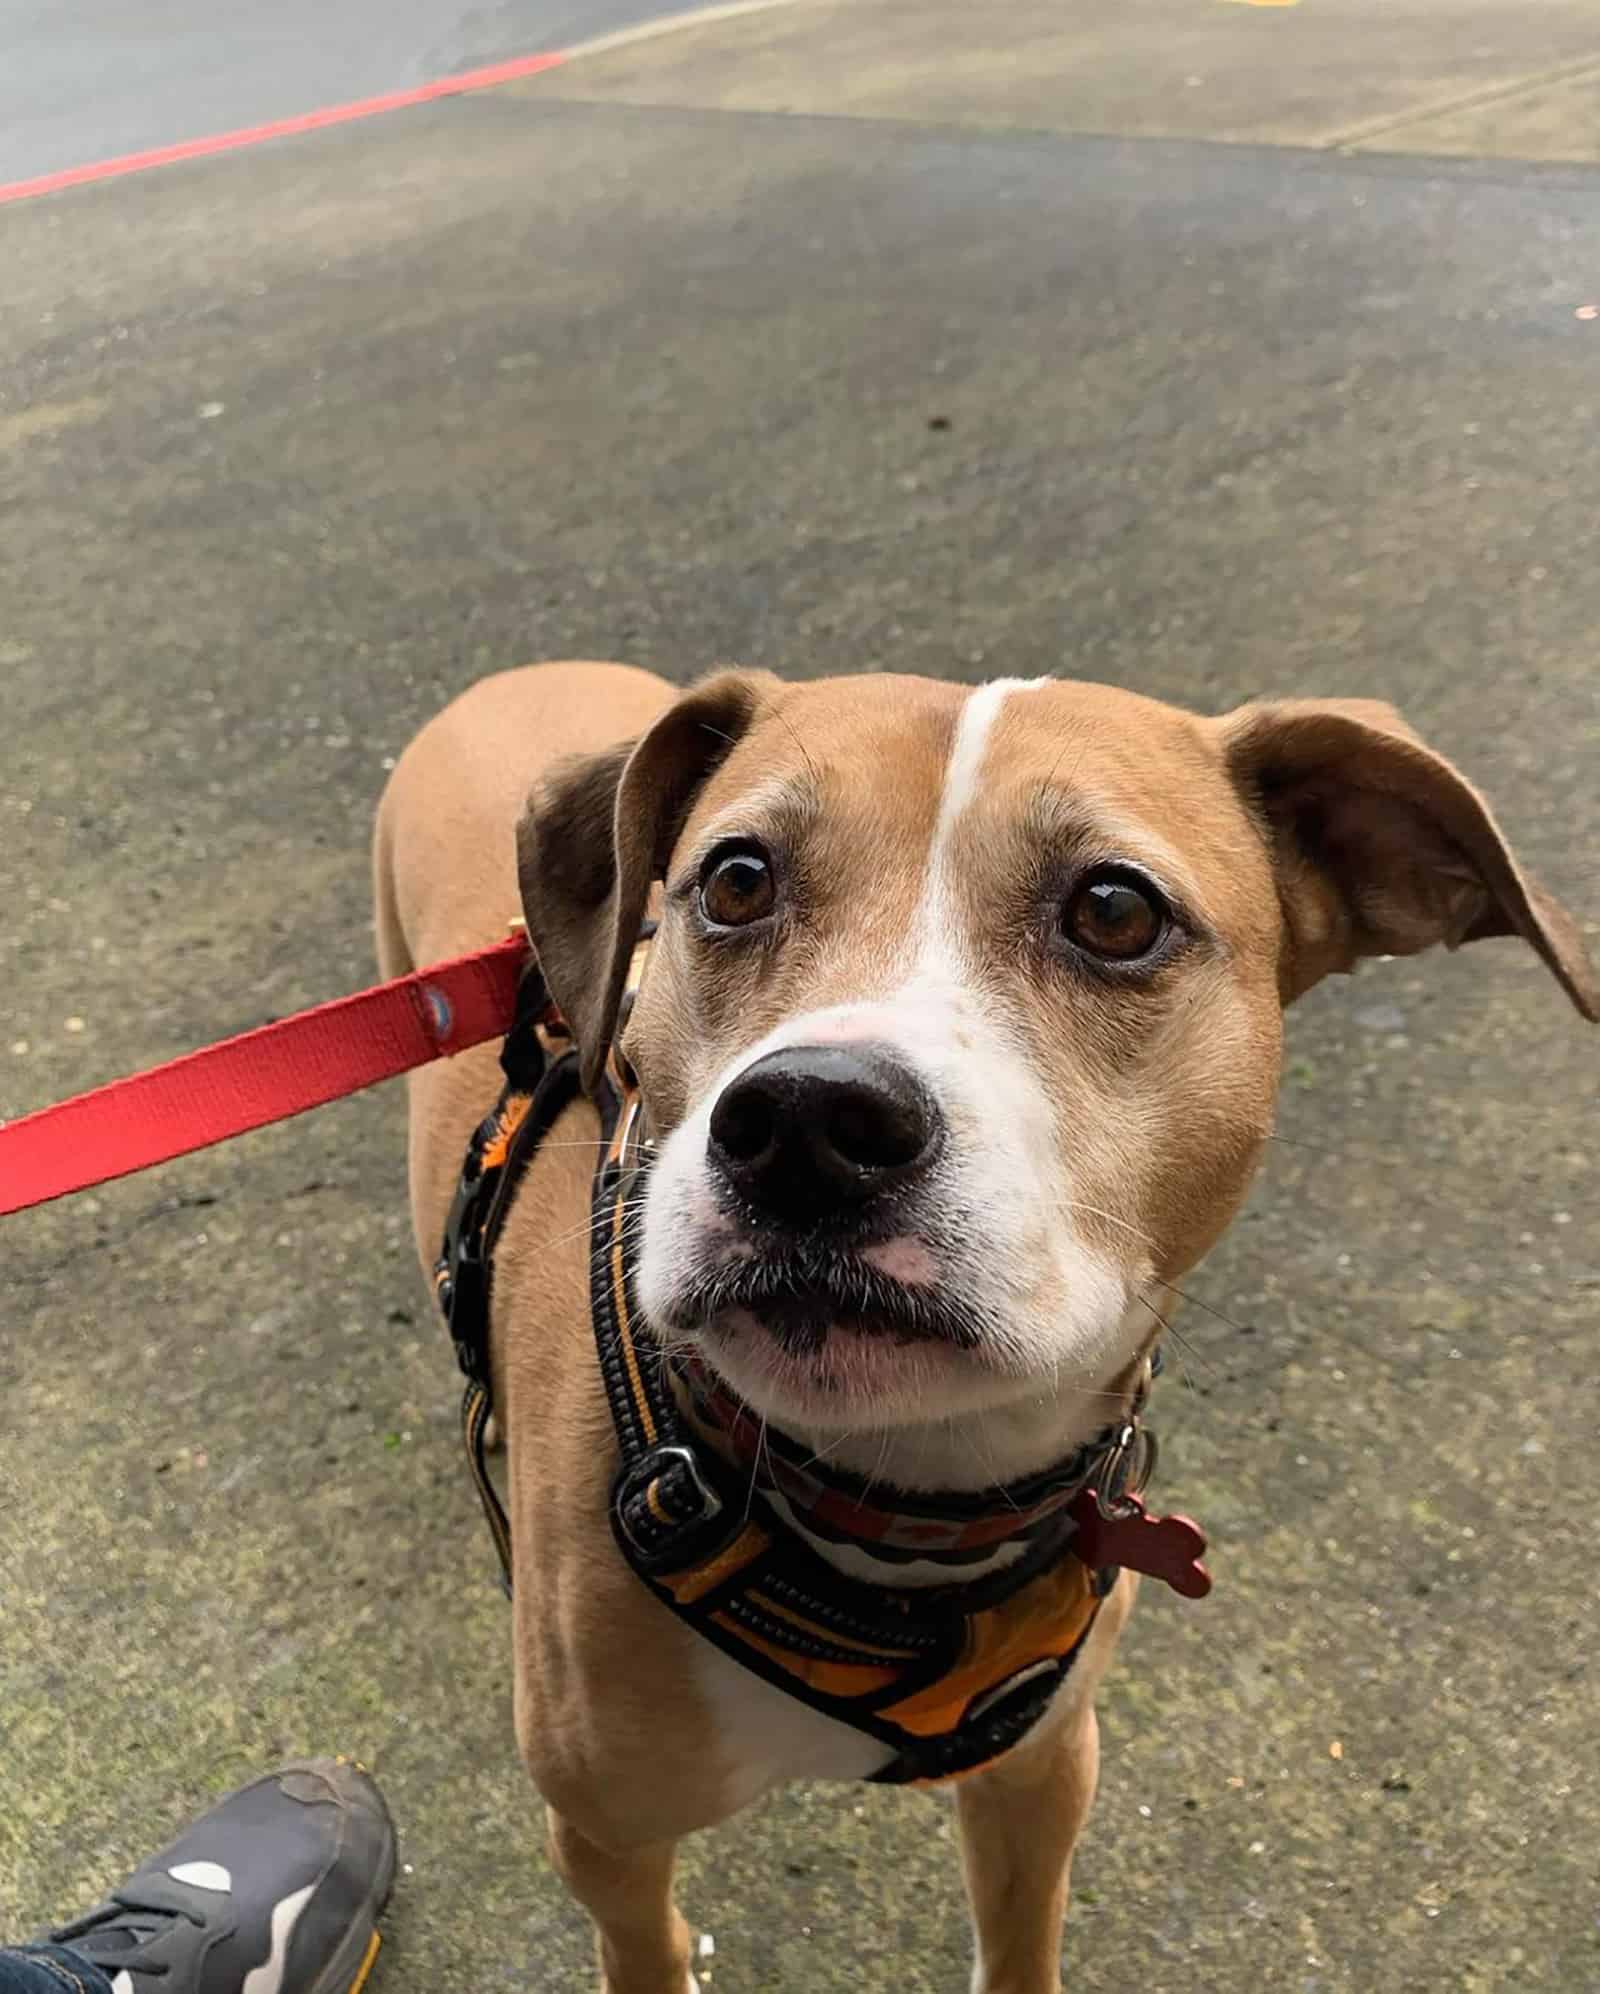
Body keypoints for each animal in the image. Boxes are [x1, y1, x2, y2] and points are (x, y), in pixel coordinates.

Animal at [371, 665, 1580, 1994]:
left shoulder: (1044, 1766)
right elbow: (644, 1944)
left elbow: (1020, 1938)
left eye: (1113, 909)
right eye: (736, 880)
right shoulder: (603, 1838)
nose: (808, 1122)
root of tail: (516, 676)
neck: (898, 1506)